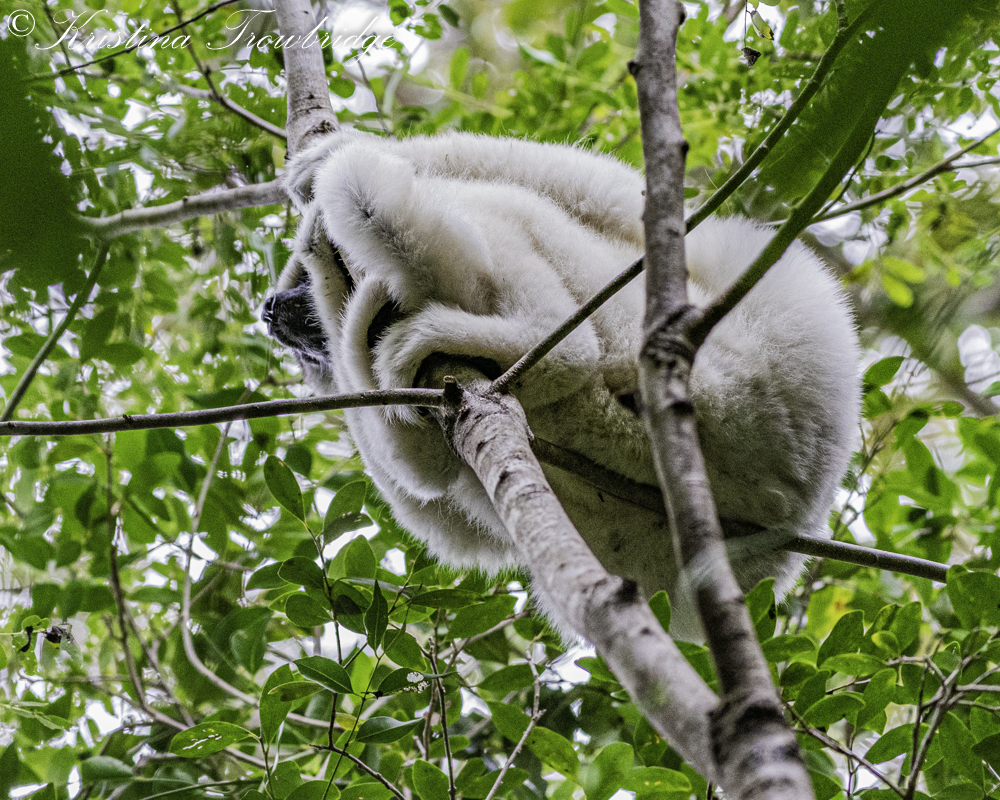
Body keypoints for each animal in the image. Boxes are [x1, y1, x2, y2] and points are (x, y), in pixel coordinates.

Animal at [264, 131, 860, 641]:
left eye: (296, 299)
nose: (272, 312)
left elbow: (611, 196)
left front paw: (329, 162)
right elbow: (429, 490)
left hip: (706, 358)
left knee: (505, 219)